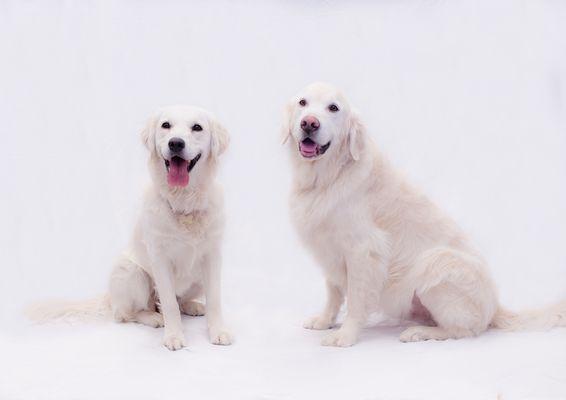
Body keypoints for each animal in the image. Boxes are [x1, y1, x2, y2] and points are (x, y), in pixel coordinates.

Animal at [27, 105, 232, 350]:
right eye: (166, 125)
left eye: (197, 127)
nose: (175, 143)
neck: (183, 202)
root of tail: (109, 297)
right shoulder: (159, 258)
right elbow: (169, 304)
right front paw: (174, 335)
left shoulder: (213, 255)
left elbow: (214, 299)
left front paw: (218, 331)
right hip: (132, 272)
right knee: (126, 313)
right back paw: (153, 317)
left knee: (178, 300)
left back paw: (192, 306)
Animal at [284, 82, 566, 346]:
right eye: (302, 103)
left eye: (333, 108)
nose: (309, 123)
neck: (328, 177)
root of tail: (495, 307)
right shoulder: (329, 248)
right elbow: (333, 293)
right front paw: (324, 321)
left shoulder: (363, 250)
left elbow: (355, 299)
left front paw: (346, 335)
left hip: (435, 261)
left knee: (464, 330)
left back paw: (420, 332)